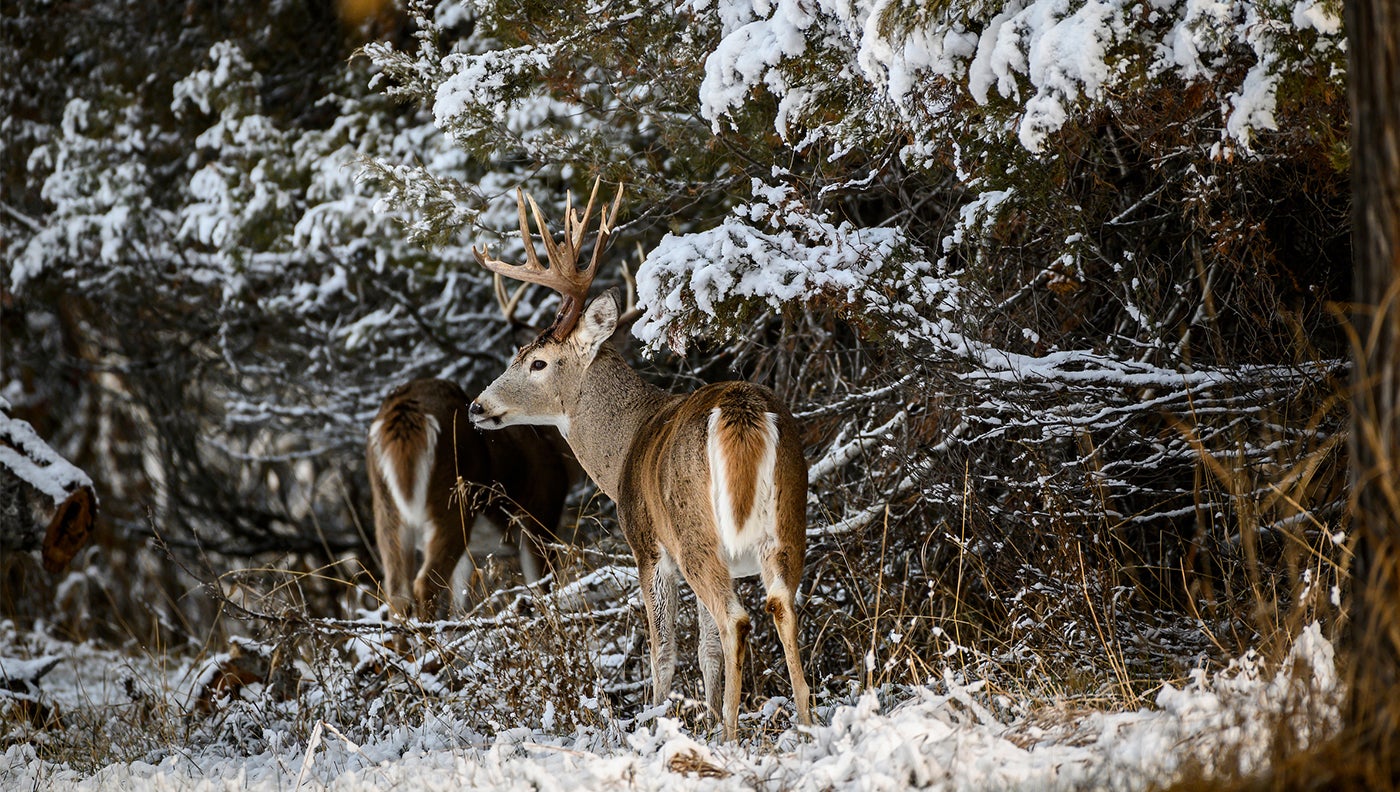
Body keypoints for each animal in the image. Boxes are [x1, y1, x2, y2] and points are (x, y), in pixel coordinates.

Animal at [367, 374, 575, 622]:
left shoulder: (470, 556)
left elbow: (461, 602)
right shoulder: (539, 517)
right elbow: (543, 588)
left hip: (386, 509)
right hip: (454, 499)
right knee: (425, 583)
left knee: (398, 594)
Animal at [466, 180, 812, 740]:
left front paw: (660, 722)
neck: (626, 444)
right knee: (780, 605)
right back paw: (805, 723)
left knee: (736, 619)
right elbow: (706, 647)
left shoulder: (647, 544)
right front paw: (703, 715)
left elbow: (664, 650)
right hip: (787, 518)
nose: (477, 406)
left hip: (693, 530)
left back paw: (731, 734)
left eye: (536, 362)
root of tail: (741, 412)